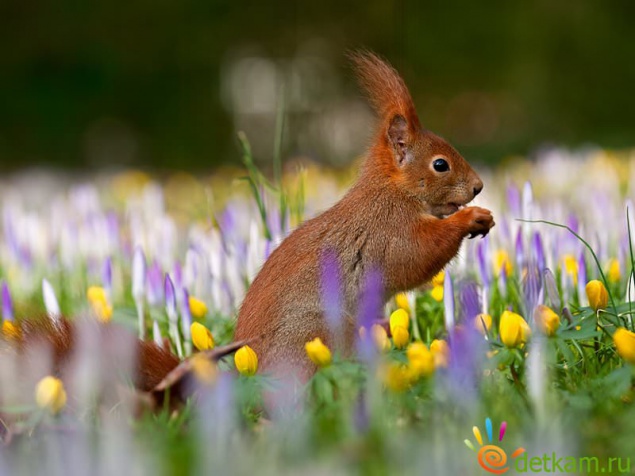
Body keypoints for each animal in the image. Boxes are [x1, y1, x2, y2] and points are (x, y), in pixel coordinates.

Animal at [236, 50, 494, 380]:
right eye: (440, 165)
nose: (478, 186)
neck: (393, 190)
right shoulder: (389, 227)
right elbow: (417, 255)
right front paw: (471, 217)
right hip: (317, 331)